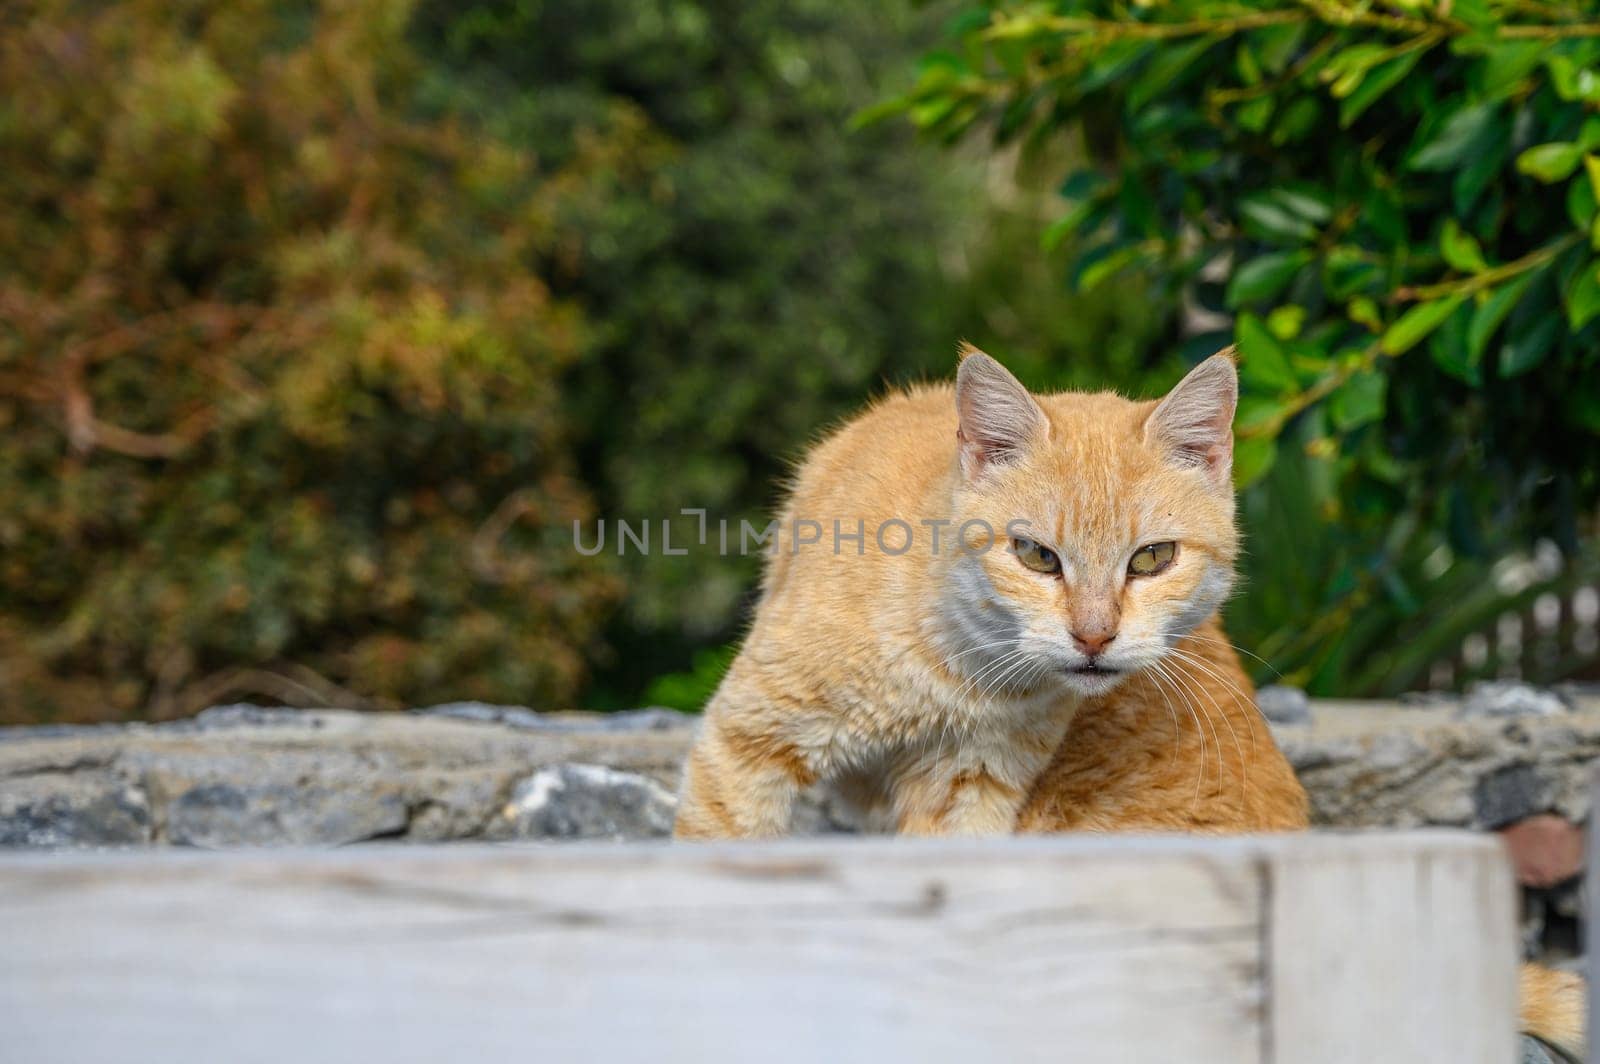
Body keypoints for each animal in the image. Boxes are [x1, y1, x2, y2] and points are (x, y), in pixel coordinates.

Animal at [668, 347, 1580, 1056]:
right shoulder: (749, 745)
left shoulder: (970, 793)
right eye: (1037, 556)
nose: (1096, 636)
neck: (959, 664)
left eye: (1152, 559)